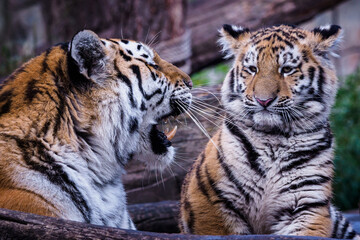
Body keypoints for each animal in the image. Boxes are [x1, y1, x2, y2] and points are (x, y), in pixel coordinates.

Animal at [181, 23, 358, 238]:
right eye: (252, 69)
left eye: (287, 69)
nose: (263, 100)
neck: (274, 137)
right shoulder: (211, 204)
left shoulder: (308, 203)